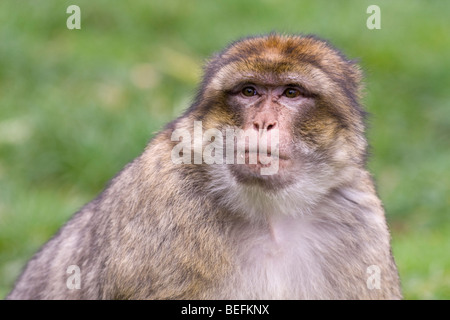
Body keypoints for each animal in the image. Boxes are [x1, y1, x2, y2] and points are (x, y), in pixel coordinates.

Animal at [6, 33, 400, 298]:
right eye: (249, 91)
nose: (263, 123)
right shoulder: (163, 204)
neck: (270, 213)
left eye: (291, 93)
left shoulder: (359, 222)